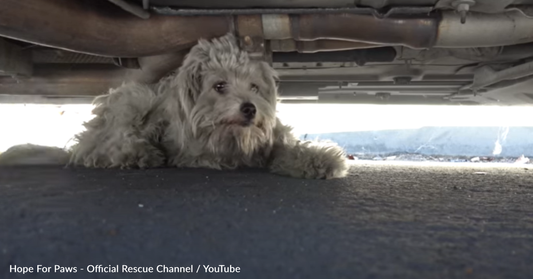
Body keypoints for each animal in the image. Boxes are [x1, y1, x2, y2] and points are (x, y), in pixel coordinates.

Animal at [0, 34, 350, 179]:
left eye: (255, 87)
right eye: (219, 86)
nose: (250, 108)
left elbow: (285, 147)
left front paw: (319, 159)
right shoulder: (197, 149)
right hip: (133, 100)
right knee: (100, 147)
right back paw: (137, 154)